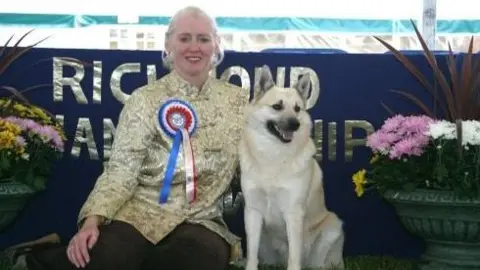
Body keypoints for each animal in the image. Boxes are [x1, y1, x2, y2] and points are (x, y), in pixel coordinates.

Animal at [237, 65, 344, 270]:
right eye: (277, 106)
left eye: (297, 109)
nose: (295, 124)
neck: (273, 155)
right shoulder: (253, 211)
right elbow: (252, 254)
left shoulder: (293, 213)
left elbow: (294, 257)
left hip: (332, 226)